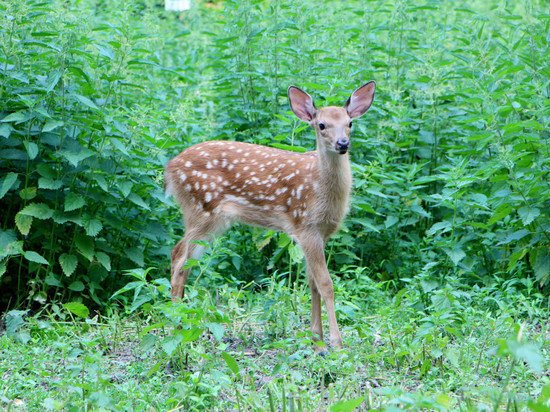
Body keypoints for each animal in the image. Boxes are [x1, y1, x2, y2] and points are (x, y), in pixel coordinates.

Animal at [166, 82, 378, 352]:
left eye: (350, 122)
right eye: (321, 125)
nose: (343, 143)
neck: (320, 188)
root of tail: (170, 168)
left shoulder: (319, 233)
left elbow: (312, 283)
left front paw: (317, 342)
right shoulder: (305, 226)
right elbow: (326, 284)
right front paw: (336, 343)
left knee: (184, 260)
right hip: (202, 209)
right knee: (179, 257)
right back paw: (177, 327)